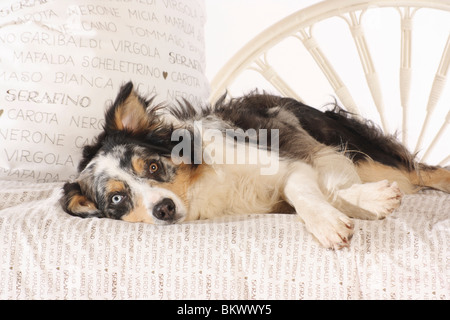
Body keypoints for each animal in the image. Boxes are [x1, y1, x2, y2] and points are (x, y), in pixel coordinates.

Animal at [59, 82, 450, 250]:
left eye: (152, 168)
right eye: (116, 199)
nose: (164, 209)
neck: (204, 188)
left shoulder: (292, 161)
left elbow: (308, 189)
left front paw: (331, 222)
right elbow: (326, 193)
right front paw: (361, 206)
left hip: (360, 151)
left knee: (421, 171)